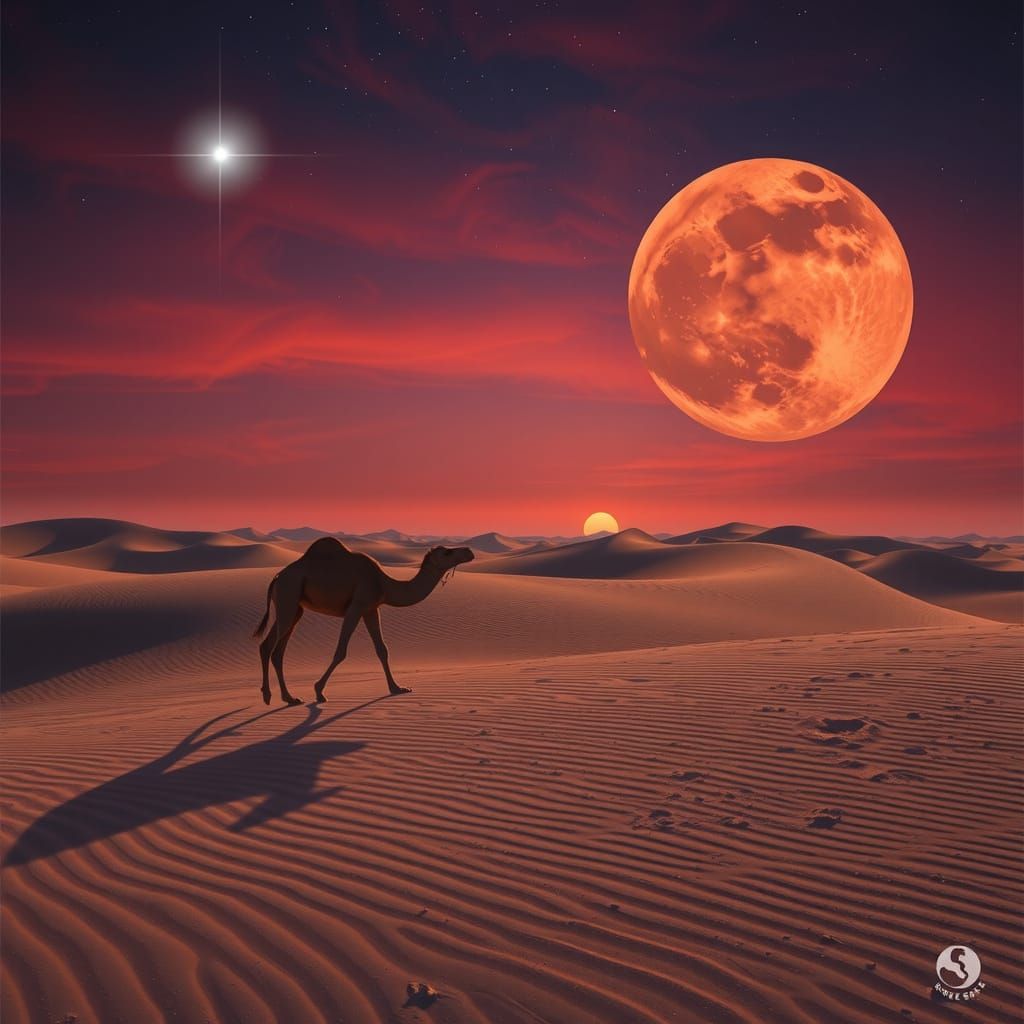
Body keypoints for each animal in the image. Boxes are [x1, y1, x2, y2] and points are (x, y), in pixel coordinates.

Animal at [253, 537, 474, 705]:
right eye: (447, 553)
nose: (469, 551)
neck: (383, 583)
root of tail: (277, 577)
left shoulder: (371, 609)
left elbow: (382, 649)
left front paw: (397, 688)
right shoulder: (357, 606)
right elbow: (341, 651)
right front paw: (319, 691)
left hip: (294, 607)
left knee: (269, 647)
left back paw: (277, 697)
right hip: (288, 595)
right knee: (275, 650)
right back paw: (283, 697)